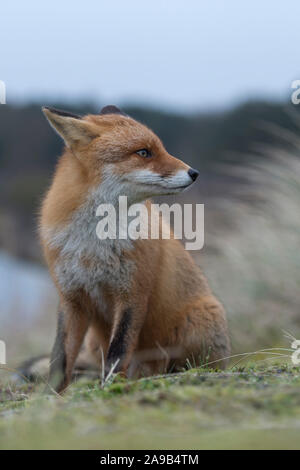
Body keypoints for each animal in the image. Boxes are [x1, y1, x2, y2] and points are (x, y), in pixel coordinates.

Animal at [37, 105, 230, 392]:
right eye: (143, 152)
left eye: (159, 148)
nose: (194, 173)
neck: (94, 243)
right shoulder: (71, 298)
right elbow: (59, 359)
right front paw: (50, 397)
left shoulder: (133, 293)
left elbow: (118, 351)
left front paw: (109, 388)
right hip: (93, 341)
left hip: (198, 323)